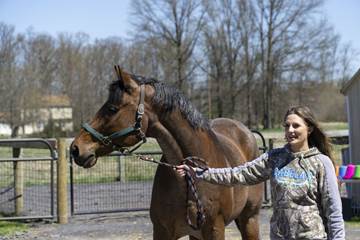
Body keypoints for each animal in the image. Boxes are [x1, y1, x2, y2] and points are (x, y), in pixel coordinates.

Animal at [71, 66, 262, 240]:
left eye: (112, 108)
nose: (75, 148)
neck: (189, 181)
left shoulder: (215, 230)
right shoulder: (162, 231)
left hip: (250, 219)